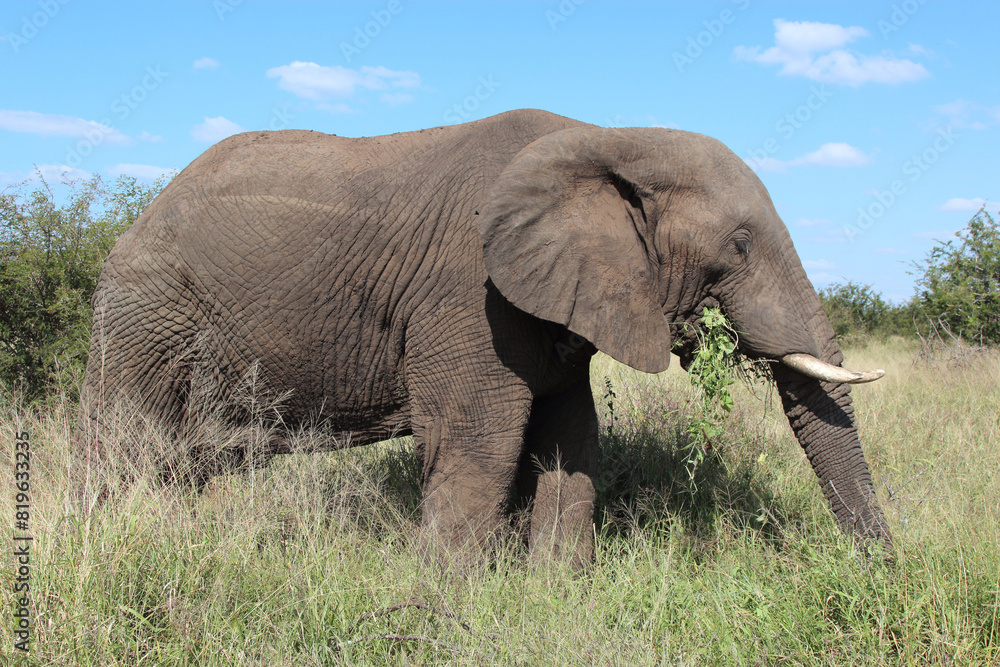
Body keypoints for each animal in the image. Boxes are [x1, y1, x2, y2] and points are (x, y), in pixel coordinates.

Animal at [73, 108, 891, 566]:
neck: (606, 139)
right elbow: (481, 440)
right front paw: (444, 605)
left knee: (179, 465)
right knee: (124, 446)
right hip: (142, 317)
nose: (883, 571)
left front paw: (557, 591)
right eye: (742, 244)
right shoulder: (472, 293)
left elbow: (569, 437)